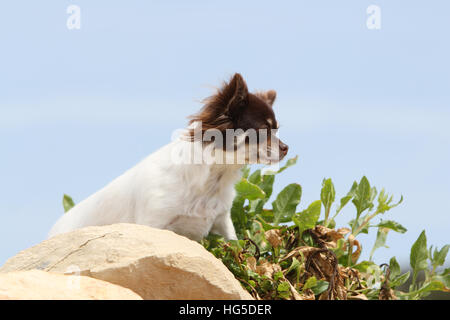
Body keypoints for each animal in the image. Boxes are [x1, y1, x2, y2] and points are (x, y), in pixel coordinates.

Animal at [49, 74, 288, 241]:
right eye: (263, 130)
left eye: (276, 130)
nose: (286, 148)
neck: (213, 179)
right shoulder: (153, 224)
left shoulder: (222, 222)